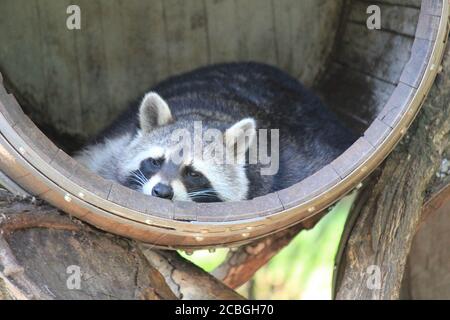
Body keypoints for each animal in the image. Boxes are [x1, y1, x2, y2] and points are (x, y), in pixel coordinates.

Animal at [74, 62, 356, 202]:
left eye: (193, 173)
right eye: (155, 161)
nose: (162, 192)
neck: (204, 115)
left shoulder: (295, 167)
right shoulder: (113, 146)